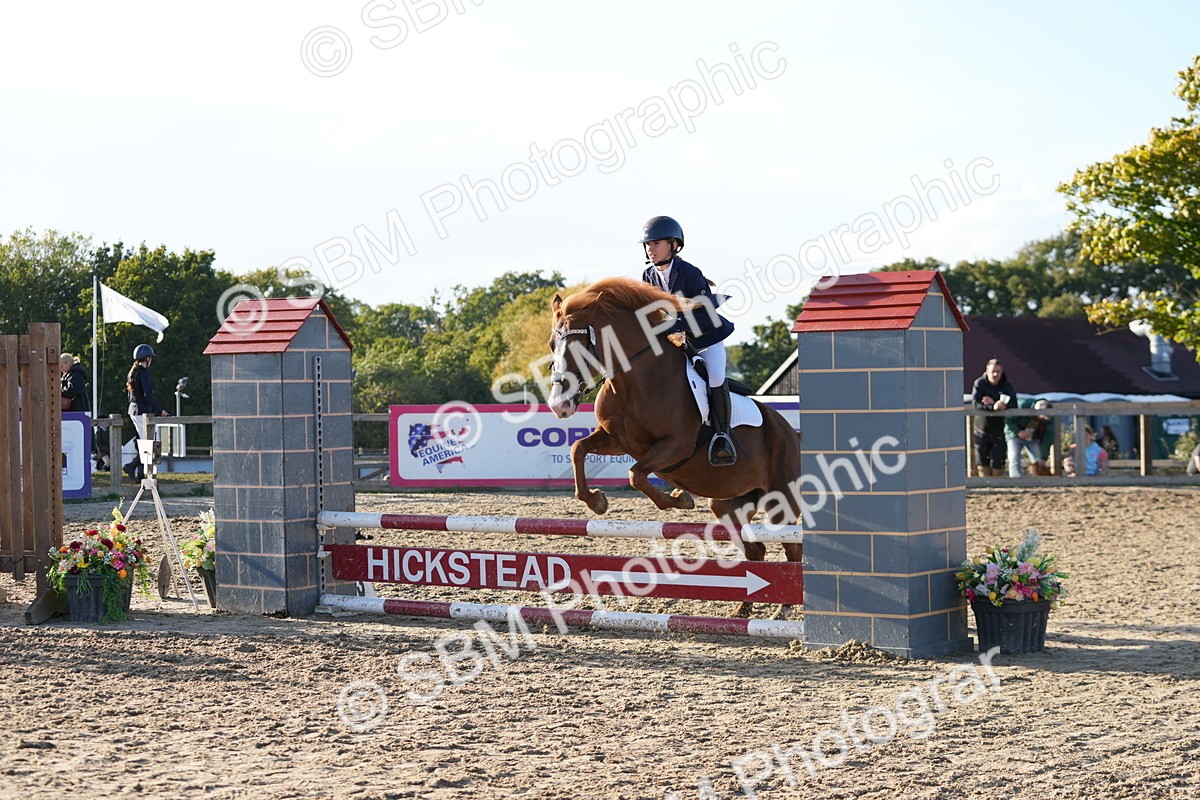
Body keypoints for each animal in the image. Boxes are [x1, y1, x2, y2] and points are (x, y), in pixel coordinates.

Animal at [546, 277, 803, 619]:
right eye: (552, 345)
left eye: (579, 345)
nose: (558, 405)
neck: (633, 378)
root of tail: (791, 433)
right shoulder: (617, 439)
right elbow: (578, 449)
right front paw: (597, 501)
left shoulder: (675, 445)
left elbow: (636, 475)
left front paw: (679, 500)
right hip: (729, 504)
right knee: (756, 549)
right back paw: (743, 609)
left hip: (781, 500)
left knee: (792, 547)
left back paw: (783, 610)